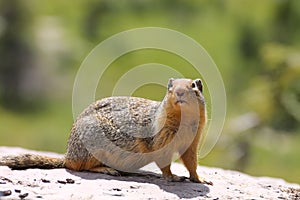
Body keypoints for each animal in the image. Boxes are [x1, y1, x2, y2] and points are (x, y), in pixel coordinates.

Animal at [0, 77, 211, 184]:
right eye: (170, 87)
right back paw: (107, 169)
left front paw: (200, 179)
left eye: (193, 85)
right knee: (78, 167)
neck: (184, 121)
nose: (180, 92)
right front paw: (172, 176)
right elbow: (164, 160)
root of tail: (67, 155)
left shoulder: (194, 140)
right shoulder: (161, 137)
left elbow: (191, 161)